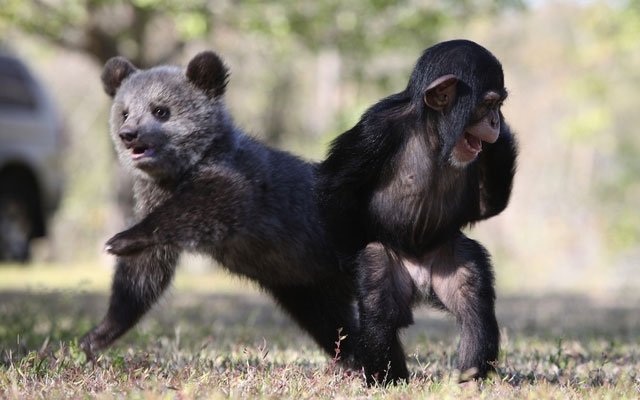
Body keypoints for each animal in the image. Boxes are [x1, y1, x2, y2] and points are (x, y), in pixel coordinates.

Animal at [318, 39, 516, 384]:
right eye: (489, 104)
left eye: (499, 106)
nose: (494, 122)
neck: (433, 133)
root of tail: (422, 281)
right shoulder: (374, 131)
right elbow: (336, 187)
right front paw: (347, 261)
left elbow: (485, 207)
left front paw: (503, 136)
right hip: (391, 264)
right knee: (380, 301)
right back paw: (387, 379)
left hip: (449, 259)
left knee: (473, 300)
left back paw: (469, 378)